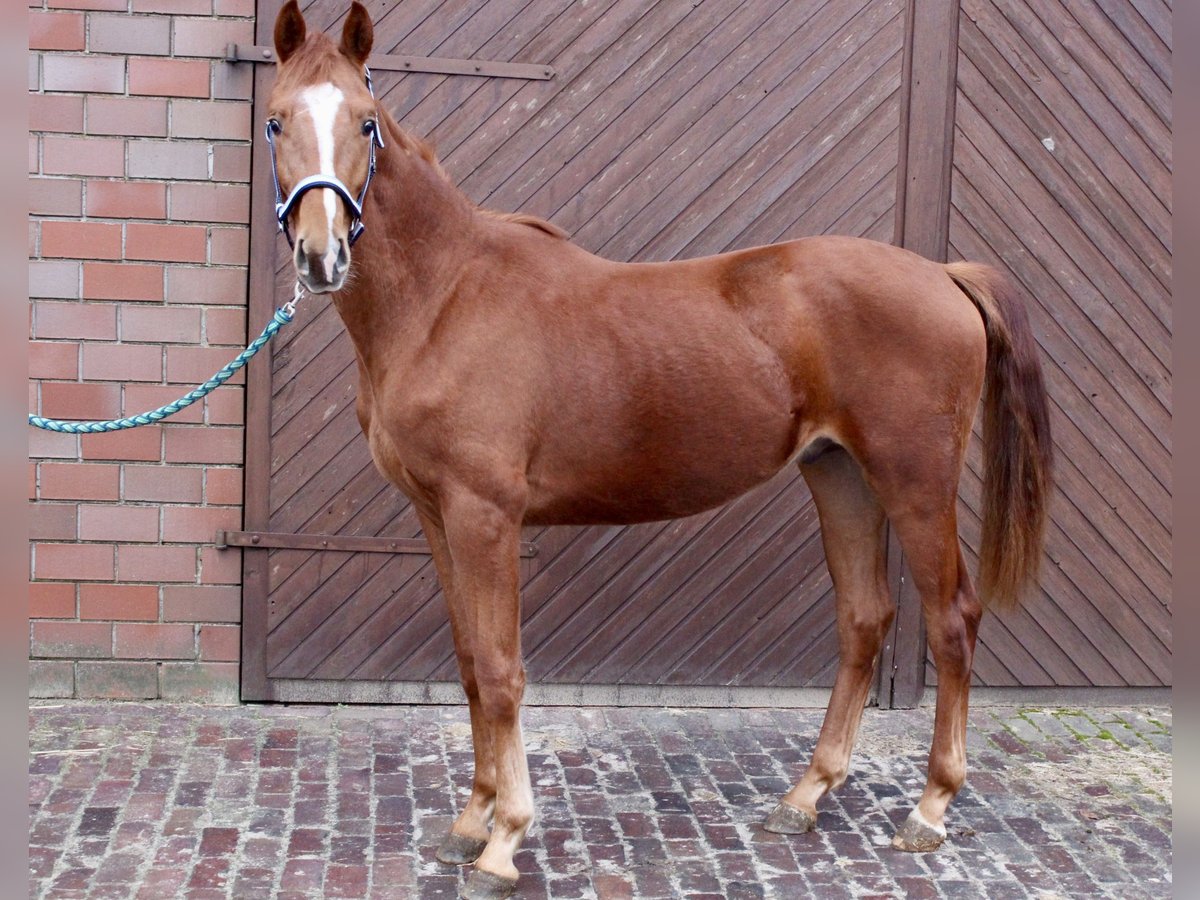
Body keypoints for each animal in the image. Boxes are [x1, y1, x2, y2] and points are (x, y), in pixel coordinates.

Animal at [265, 3, 1052, 897]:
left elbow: (501, 673)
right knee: (865, 618)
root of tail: (945, 275)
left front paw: (504, 841)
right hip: (840, 475)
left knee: (952, 618)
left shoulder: (485, 515)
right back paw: (805, 796)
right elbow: (468, 663)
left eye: (366, 122)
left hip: (914, 483)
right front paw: (469, 822)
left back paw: (929, 807)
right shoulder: (437, 517)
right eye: (275, 120)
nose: (321, 256)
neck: (446, 297)